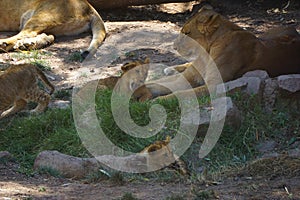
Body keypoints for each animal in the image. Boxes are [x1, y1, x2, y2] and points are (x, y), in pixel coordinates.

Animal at [138, 5, 300, 100]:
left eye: (187, 33)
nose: (174, 46)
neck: (206, 52)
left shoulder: (214, 85)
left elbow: (180, 94)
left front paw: (154, 102)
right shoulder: (187, 78)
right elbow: (158, 83)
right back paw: (170, 69)